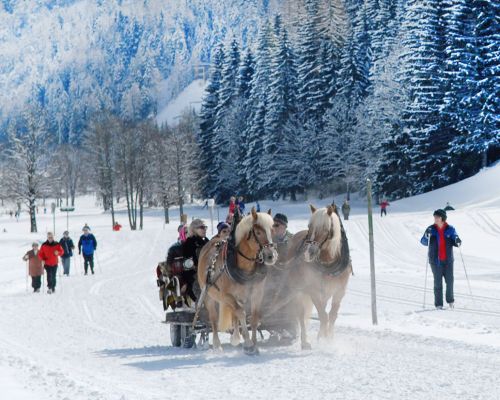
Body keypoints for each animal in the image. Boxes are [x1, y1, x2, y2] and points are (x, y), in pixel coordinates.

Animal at [197, 208, 280, 354]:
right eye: (258, 232)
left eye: (273, 230)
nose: (271, 256)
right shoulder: (226, 295)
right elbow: (241, 313)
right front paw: (248, 343)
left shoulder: (257, 293)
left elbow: (253, 317)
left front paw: (254, 345)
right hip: (209, 295)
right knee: (214, 319)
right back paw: (217, 345)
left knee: (234, 313)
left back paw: (235, 337)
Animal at [286, 205, 352, 348]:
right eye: (309, 226)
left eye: (326, 229)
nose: (308, 253)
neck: (328, 263)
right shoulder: (313, 290)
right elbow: (323, 316)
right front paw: (323, 338)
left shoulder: (339, 291)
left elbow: (332, 316)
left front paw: (329, 338)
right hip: (298, 291)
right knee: (301, 314)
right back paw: (305, 342)